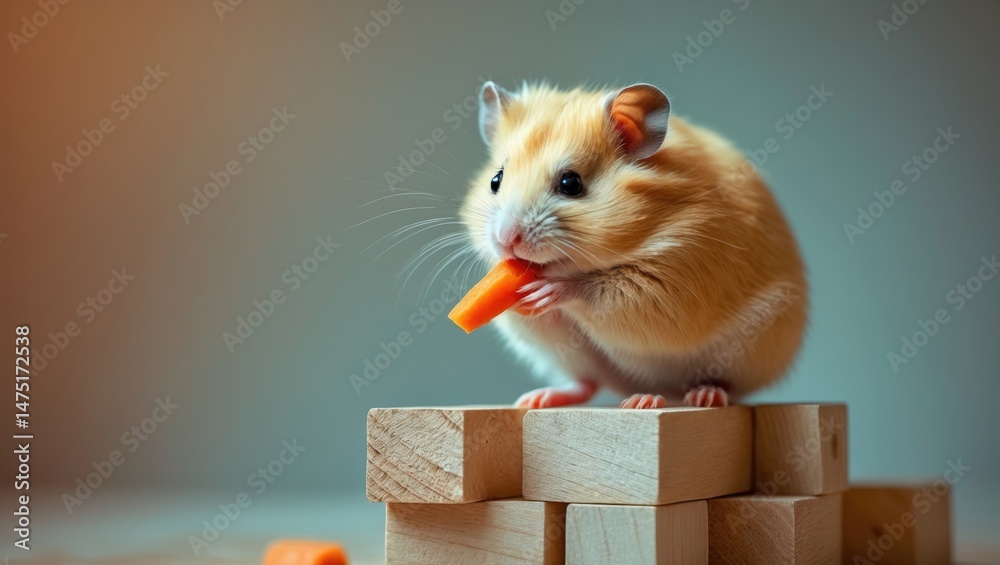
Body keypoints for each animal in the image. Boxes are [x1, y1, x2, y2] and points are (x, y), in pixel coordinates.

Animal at [458, 81, 808, 409]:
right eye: (495, 181)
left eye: (571, 184)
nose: (506, 240)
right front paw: (523, 299)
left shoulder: (674, 278)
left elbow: (598, 292)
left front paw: (547, 291)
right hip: (570, 357)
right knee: (587, 383)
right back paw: (541, 399)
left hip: (746, 352)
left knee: (725, 386)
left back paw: (690, 397)